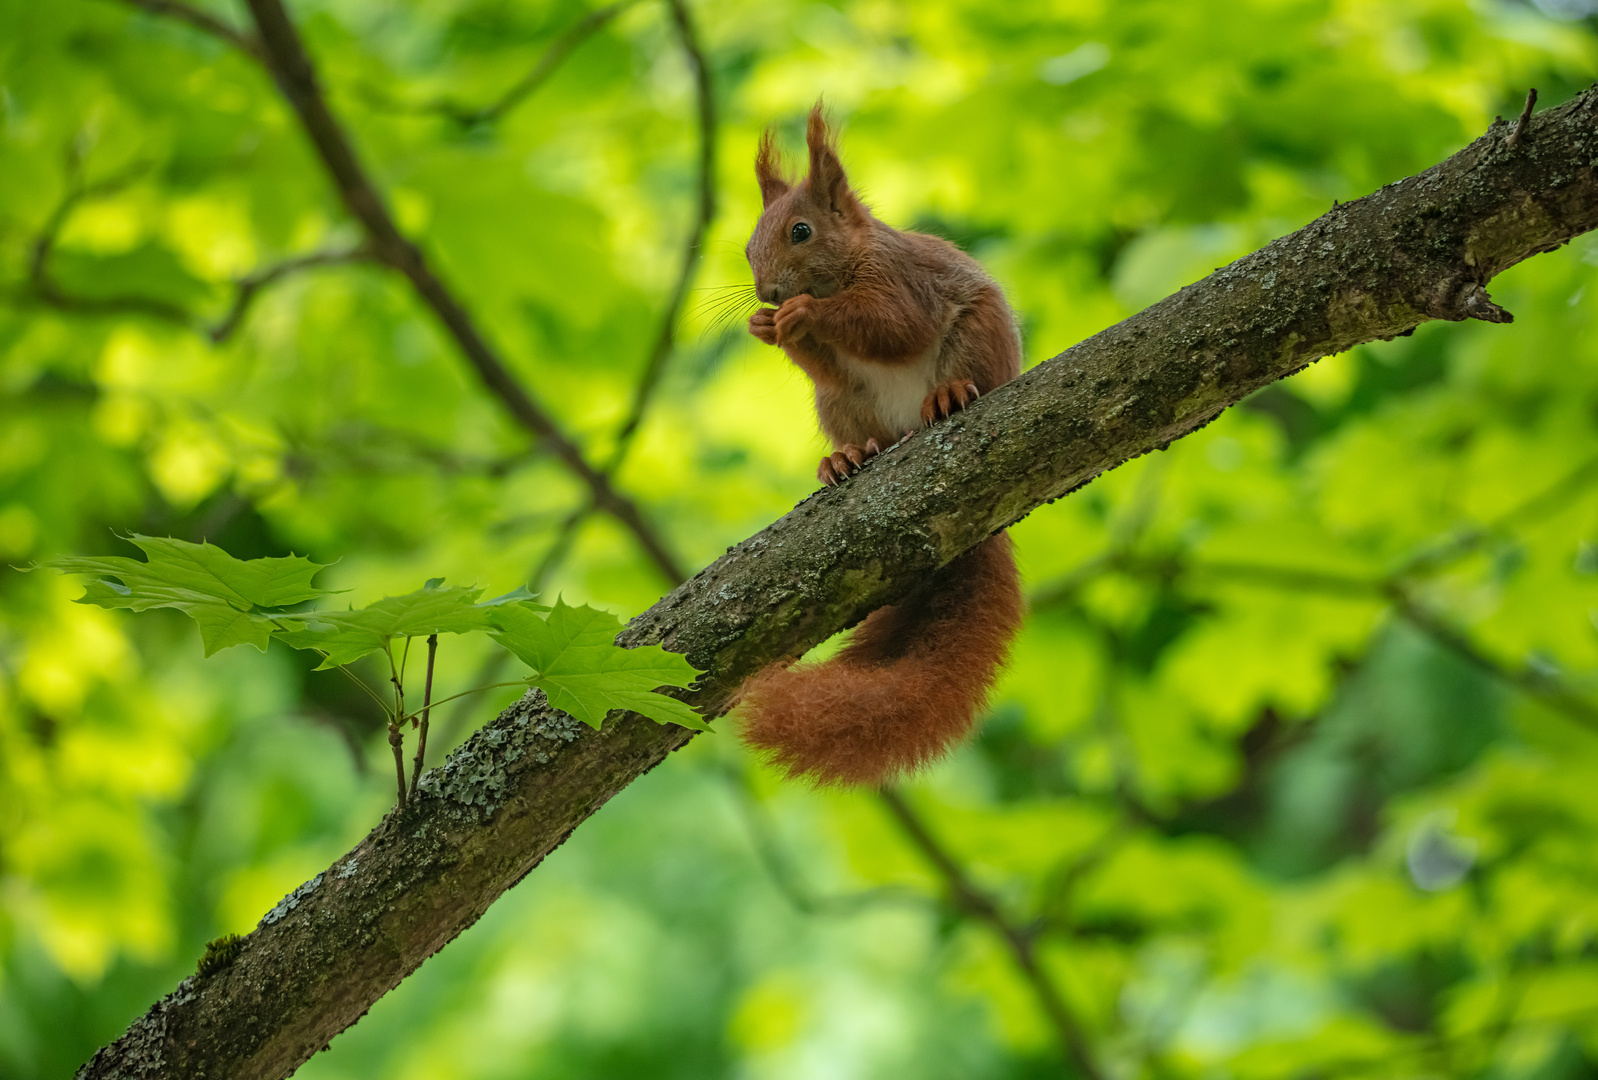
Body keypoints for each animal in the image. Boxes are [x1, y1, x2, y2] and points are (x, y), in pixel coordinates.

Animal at [735, 105, 1022, 786]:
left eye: (802, 231)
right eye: (747, 246)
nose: (767, 294)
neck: (846, 267)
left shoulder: (901, 281)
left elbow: (891, 325)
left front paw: (806, 314)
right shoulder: (831, 374)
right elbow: (827, 362)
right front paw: (767, 327)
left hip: (978, 338)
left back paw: (948, 398)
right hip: (841, 406)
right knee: (863, 425)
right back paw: (849, 457)